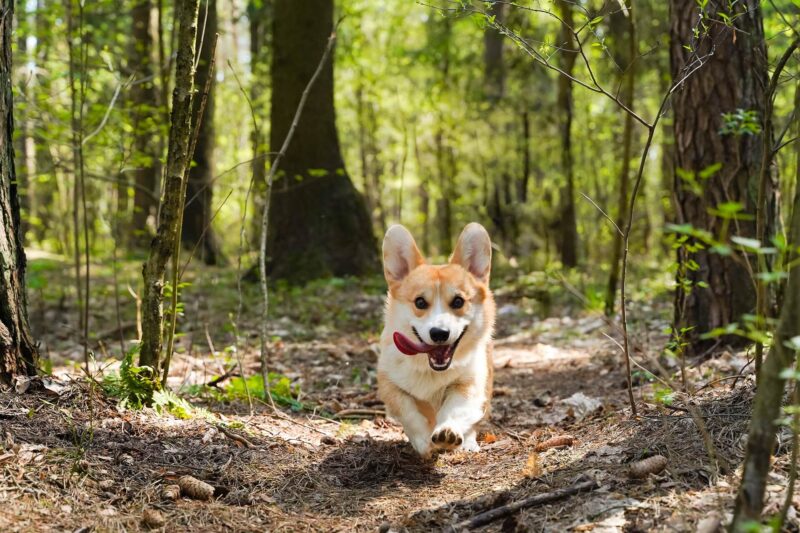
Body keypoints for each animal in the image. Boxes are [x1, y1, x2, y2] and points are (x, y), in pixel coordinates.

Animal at [376, 222, 494, 460]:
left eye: (458, 301)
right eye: (420, 302)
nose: (439, 333)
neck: (431, 370)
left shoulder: (468, 384)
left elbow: (455, 408)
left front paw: (447, 432)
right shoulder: (389, 385)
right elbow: (409, 411)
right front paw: (422, 441)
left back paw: (468, 442)